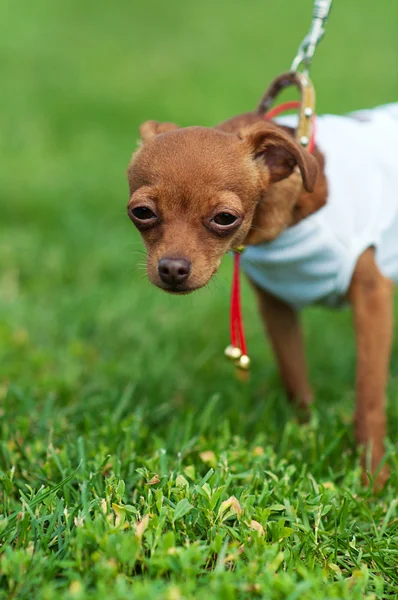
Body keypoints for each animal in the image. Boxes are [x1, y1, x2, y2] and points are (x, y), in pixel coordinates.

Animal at [127, 105, 394, 486]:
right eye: (141, 212)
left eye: (225, 218)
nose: (173, 269)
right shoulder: (276, 306)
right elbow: (295, 379)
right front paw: (306, 437)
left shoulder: (372, 298)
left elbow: (369, 398)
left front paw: (373, 480)